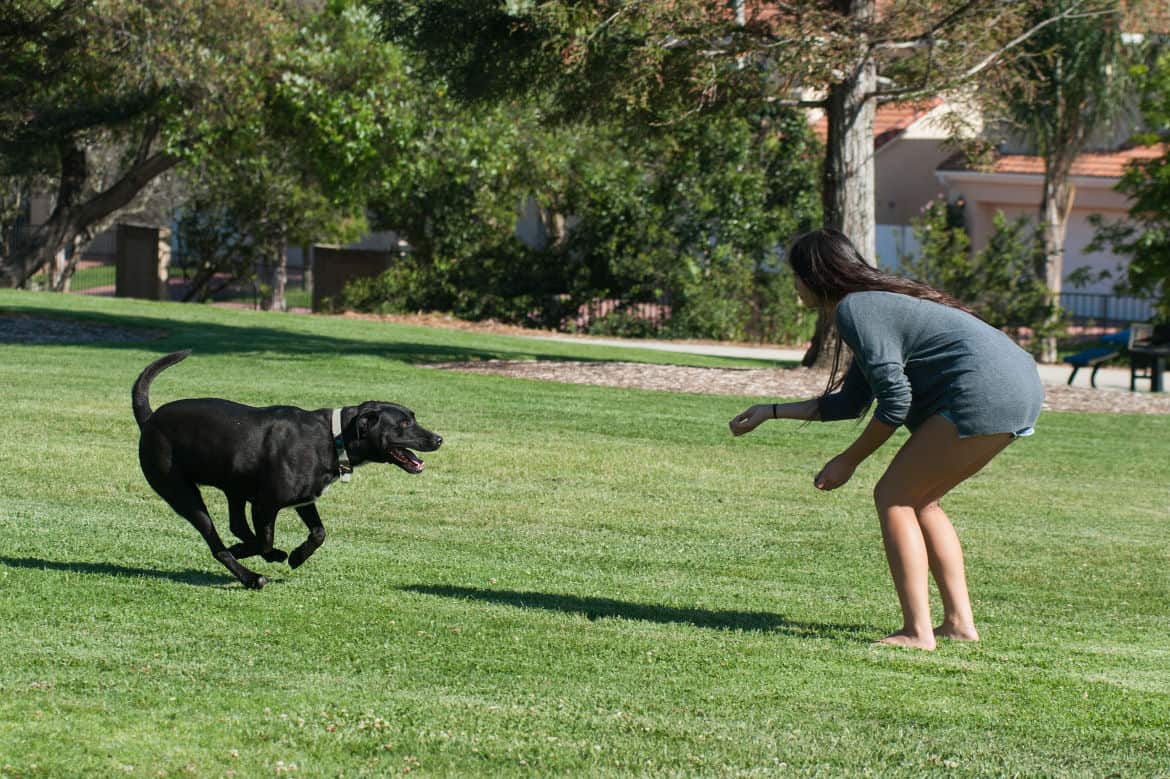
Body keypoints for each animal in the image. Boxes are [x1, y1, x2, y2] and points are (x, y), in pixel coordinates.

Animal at [132, 348, 439, 584]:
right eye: (403, 424)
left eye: (412, 418)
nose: (439, 439)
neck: (333, 437)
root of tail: (150, 420)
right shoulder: (265, 505)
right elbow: (266, 540)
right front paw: (268, 553)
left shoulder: (304, 499)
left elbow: (319, 533)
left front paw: (296, 556)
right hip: (183, 494)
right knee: (217, 544)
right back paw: (250, 576)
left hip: (234, 488)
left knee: (236, 526)